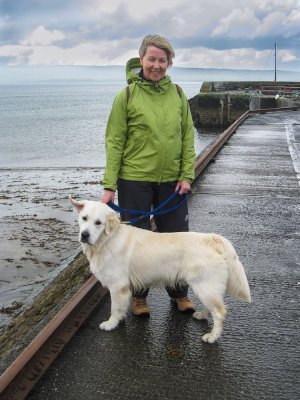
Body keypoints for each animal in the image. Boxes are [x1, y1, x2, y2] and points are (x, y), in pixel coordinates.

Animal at [70, 198, 251, 344]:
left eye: (98, 223)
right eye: (84, 218)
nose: (84, 235)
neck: (107, 240)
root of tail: (213, 238)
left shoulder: (118, 286)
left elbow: (115, 309)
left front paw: (111, 324)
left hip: (204, 286)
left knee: (220, 312)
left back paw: (212, 337)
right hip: (206, 287)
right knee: (214, 307)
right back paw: (201, 315)